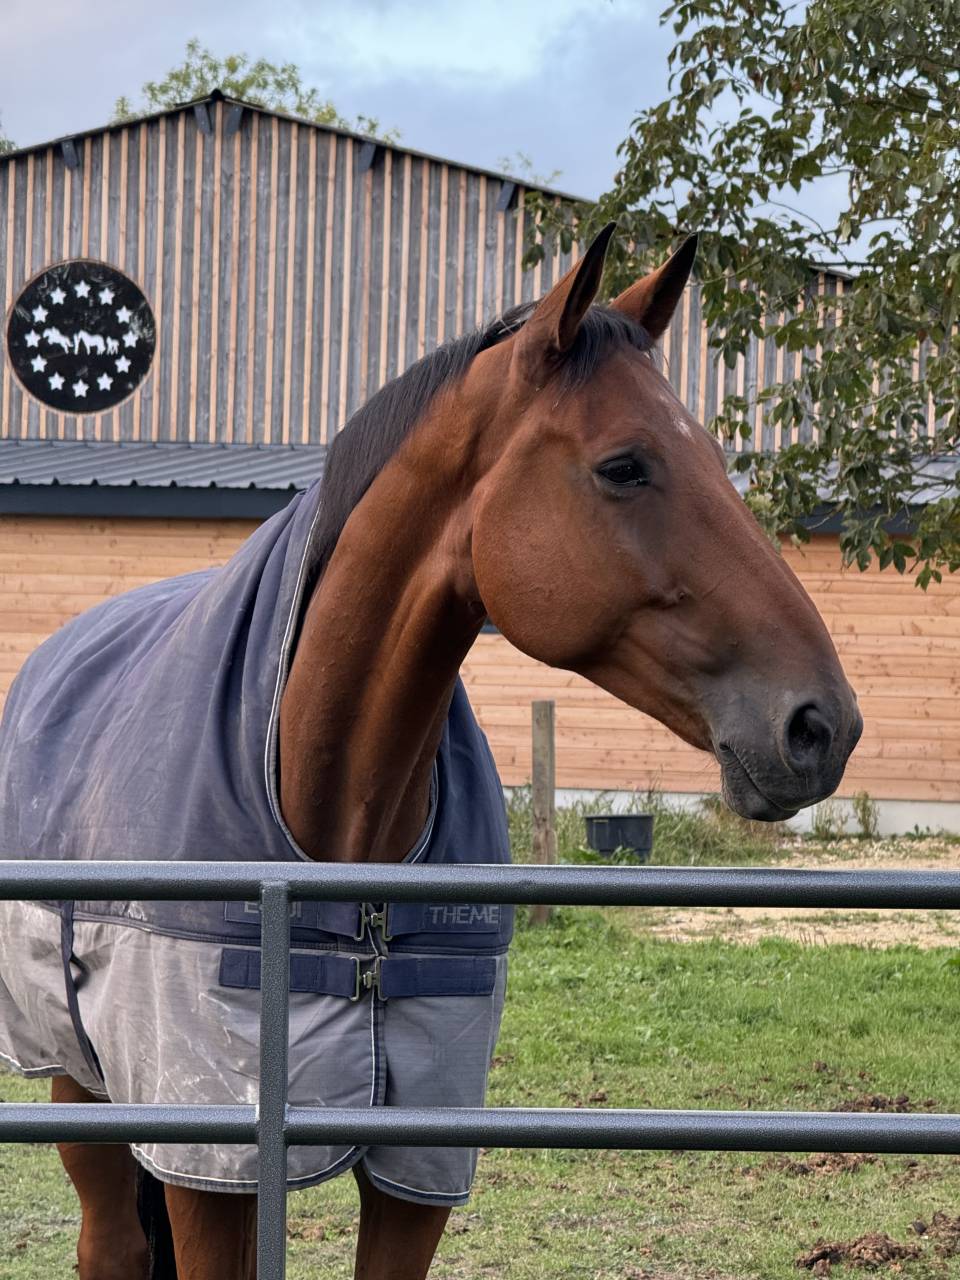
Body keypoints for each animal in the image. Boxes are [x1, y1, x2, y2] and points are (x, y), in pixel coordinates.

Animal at [0, 226, 862, 1279]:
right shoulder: (214, 1169)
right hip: (83, 1091)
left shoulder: (420, 1160)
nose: (822, 724)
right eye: (625, 466)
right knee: (111, 1243)